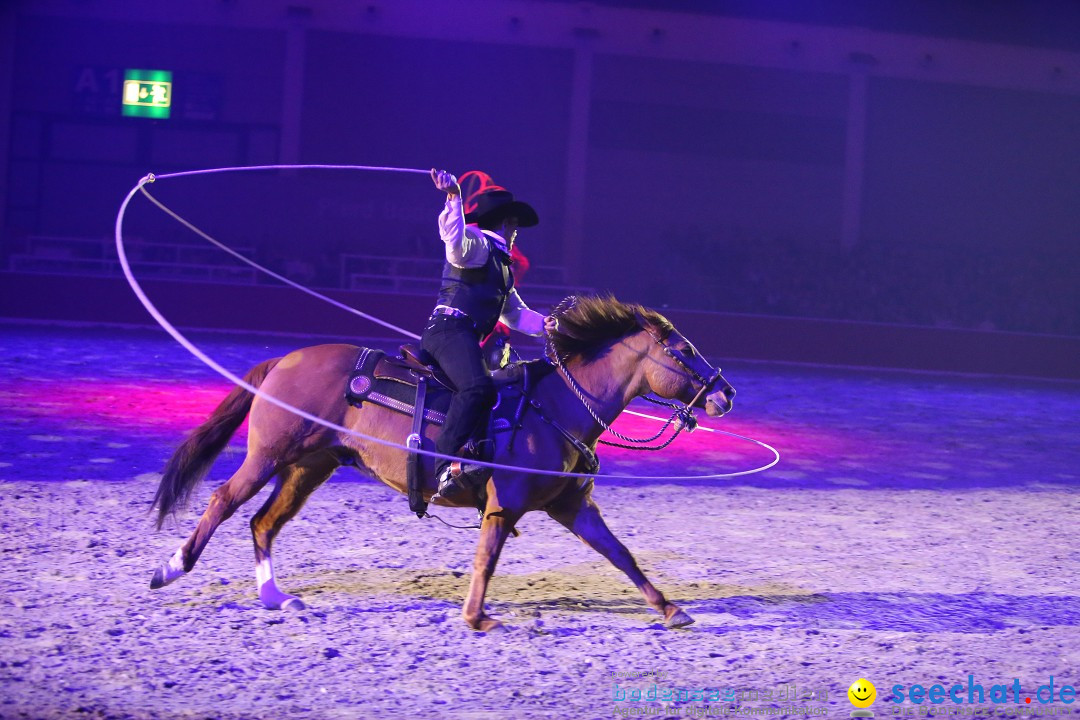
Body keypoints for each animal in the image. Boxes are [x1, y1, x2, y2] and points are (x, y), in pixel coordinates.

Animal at [150, 293, 734, 630]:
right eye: (683, 350)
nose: (725, 393)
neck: (555, 406)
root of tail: (284, 360)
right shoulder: (505, 503)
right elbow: (486, 558)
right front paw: (477, 618)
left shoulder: (572, 507)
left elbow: (621, 555)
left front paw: (671, 610)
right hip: (270, 456)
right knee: (224, 500)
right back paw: (170, 568)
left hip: (308, 468)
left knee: (263, 522)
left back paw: (276, 598)